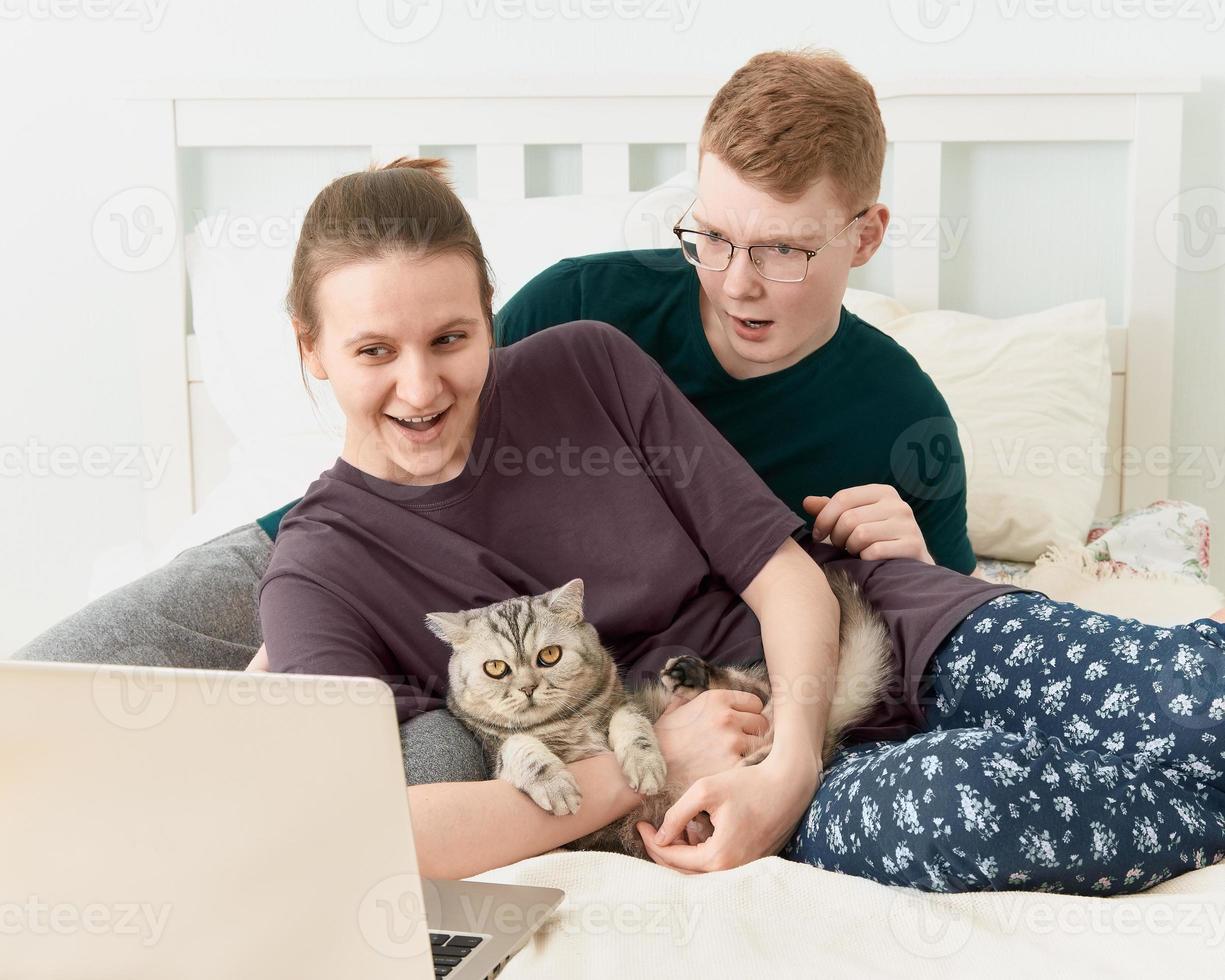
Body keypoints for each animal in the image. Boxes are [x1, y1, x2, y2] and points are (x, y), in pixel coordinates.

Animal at [428, 573, 891, 857]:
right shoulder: (497, 756)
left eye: (550, 656)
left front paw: (645, 764)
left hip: (745, 700)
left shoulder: (624, 704)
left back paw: (696, 679)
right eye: (496, 668)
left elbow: (630, 726)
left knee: (761, 701)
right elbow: (522, 747)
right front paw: (556, 784)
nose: (526, 688)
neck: (565, 721)